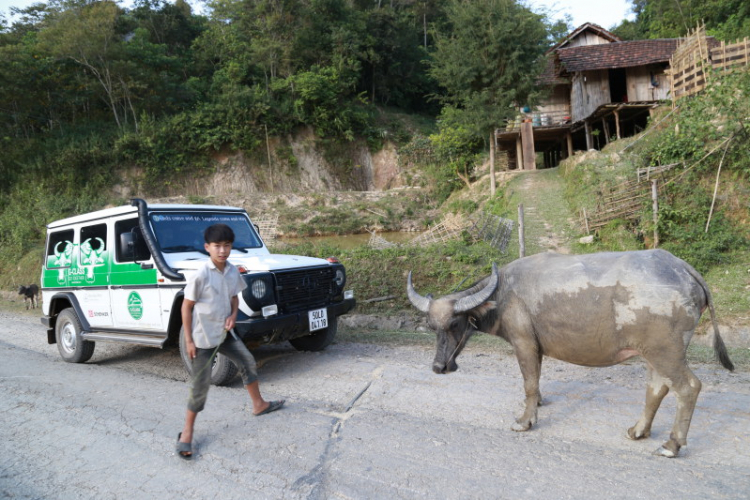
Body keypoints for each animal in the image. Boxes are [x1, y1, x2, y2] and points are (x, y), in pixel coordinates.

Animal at [408, 250, 736, 458]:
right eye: (432, 326)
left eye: (454, 323)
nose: (439, 367)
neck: (502, 295)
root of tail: (683, 269)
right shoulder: (536, 347)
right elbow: (536, 380)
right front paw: (538, 403)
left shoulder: (523, 342)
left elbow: (528, 382)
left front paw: (525, 420)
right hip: (653, 353)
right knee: (657, 388)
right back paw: (638, 431)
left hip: (666, 351)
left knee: (688, 387)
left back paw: (672, 445)